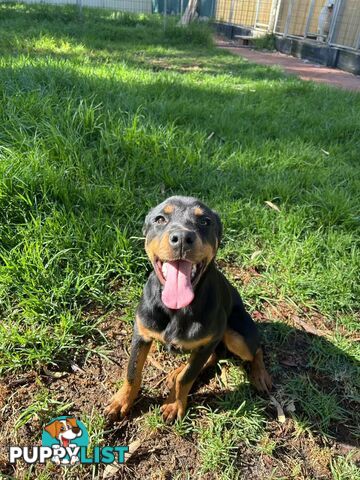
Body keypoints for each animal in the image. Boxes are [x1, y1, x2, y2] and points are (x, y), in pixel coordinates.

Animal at [105, 197, 272, 422]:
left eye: (205, 221)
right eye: (160, 219)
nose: (183, 238)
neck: (176, 310)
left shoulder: (209, 340)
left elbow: (188, 377)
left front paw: (174, 405)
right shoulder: (141, 333)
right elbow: (132, 371)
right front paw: (121, 401)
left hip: (236, 336)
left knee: (254, 348)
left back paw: (260, 375)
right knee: (215, 355)